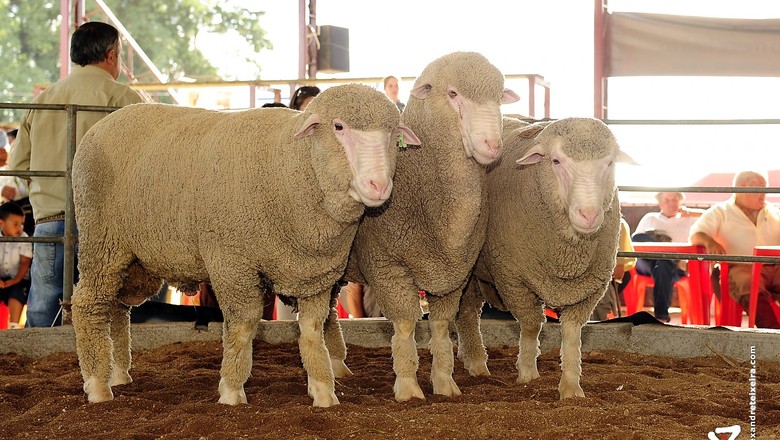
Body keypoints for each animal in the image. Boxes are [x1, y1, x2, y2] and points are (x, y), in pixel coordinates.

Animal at [68, 83, 420, 410]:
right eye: (339, 127)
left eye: (393, 133)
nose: (379, 185)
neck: (288, 167)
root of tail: (105, 122)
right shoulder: (231, 261)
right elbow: (243, 325)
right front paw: (232, 391)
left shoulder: (314, 270)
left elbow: (311, 329)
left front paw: (323, 390)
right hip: (101, 239)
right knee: (89, 303)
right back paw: (98, 385)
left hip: (133, 260)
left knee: (117, 306)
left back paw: (118, 373)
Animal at [330, 52, 516, 402]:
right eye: (453, 93)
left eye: (500, 97)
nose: (492, 145)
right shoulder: (386, 264)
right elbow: (405, 324)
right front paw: (408, 388)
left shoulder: (455, 272)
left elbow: (441, 327)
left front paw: (444, 382)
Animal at [454, 116, 636, 398]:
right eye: (556, 161)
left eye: (609, 163)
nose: (589, 215)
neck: (567, 255)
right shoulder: (512, 277)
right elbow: (531, 324)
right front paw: (527, 373)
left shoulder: (591, 287)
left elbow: (572, 334)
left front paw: (571, 387)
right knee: (468, 312)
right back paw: (476, 363)